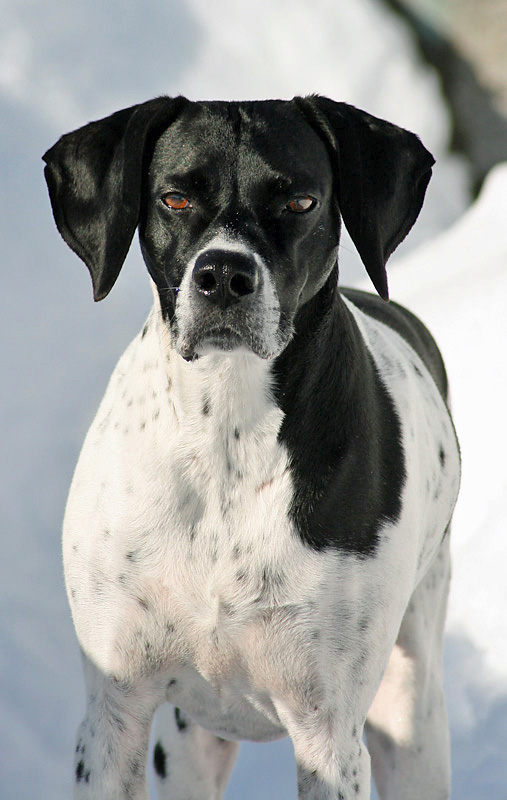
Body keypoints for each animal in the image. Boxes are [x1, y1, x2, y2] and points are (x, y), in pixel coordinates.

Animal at [45, 95, 462, 800]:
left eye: (299, 201)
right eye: (175, 197)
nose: (222, 274)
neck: (226, 439)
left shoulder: (329, 740)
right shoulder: (113, 717)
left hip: (412, 719)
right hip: (187, 744)